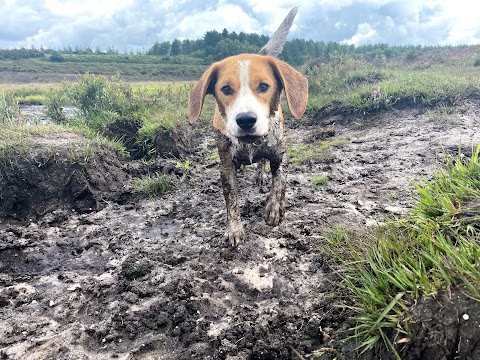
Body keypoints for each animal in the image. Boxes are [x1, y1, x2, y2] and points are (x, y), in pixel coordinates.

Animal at [188, 8, 308, 246]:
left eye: (263, 86)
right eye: (226, 89)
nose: (245, 120)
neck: (250, 143)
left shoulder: (280, 155)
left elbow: (280, 181)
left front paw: (274, 208)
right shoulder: (226, 166)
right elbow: (231, 201)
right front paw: (234, 229)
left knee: (263, 164)